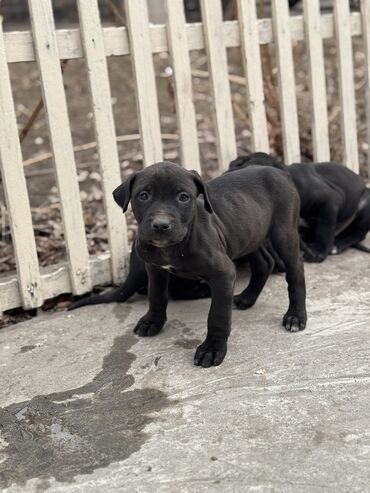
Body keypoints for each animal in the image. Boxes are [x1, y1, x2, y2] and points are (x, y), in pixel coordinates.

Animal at [230, 153, 368, 262]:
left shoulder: (330, 201)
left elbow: (324, 229)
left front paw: (318, 252)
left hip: (365, 202)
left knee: (358, 232)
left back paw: (338, 244)